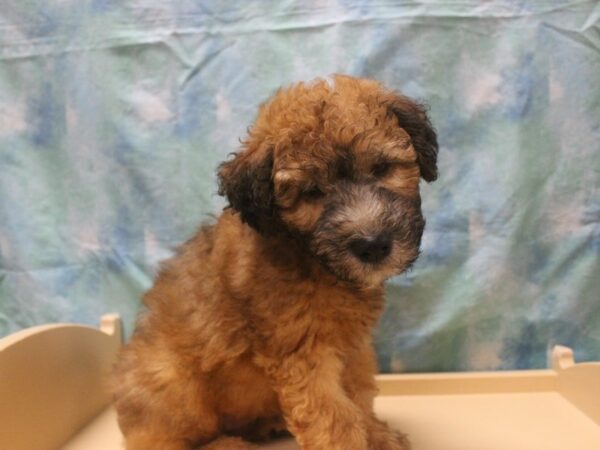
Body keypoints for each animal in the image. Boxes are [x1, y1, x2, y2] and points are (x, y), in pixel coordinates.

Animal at [112, 74, 438, 450]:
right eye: (312, 193)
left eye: (382, 168)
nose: (372, 246)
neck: (311, 259)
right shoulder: (304, 355)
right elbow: (335, 419)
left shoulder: (352, 346)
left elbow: (357, 394)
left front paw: (377, 435)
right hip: (171, 384)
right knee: (164, 441)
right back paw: (226, 444)